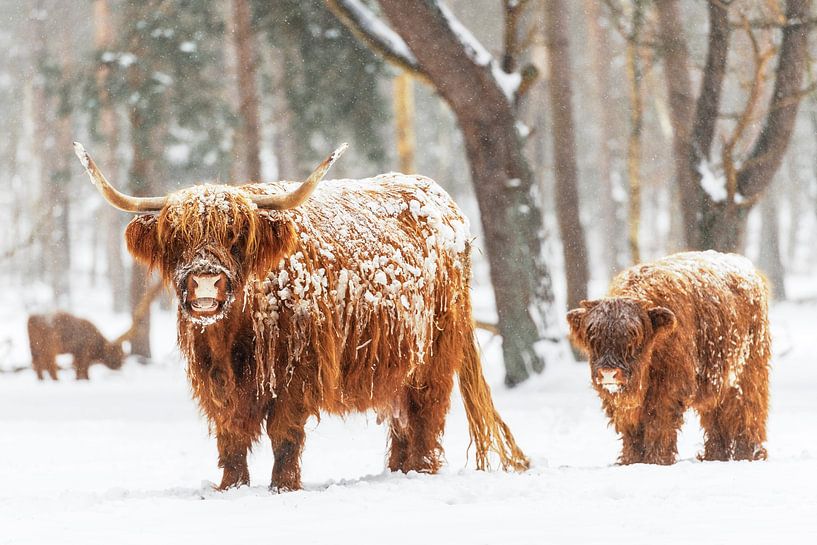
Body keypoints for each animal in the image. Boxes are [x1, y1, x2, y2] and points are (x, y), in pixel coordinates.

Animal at [74, 142, 528, 491]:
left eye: (237, 236)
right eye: (176, 238)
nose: (205, 282)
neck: (233, 336)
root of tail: (440, 199)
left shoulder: (298, 372)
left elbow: (285, 434)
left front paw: (283, 487)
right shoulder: (216, 380)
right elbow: (231, 437)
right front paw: (231, 487)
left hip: (433, 356)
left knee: (425, 417)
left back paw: (421, 472)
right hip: (396, 362)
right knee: (401, 420)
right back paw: (397, 471)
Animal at [567, 250, 770, 465]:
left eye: (634, 337)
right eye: (593, 338)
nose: (608, 373)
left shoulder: (669, 388)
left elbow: (658, 424)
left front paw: (657, 460)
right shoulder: (623, 404)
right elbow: (632, 432)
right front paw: (631, 461)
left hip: (748, 372)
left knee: (748, 411)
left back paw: (748, 454)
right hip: (717, 380)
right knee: (715, 417)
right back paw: (714, 457)